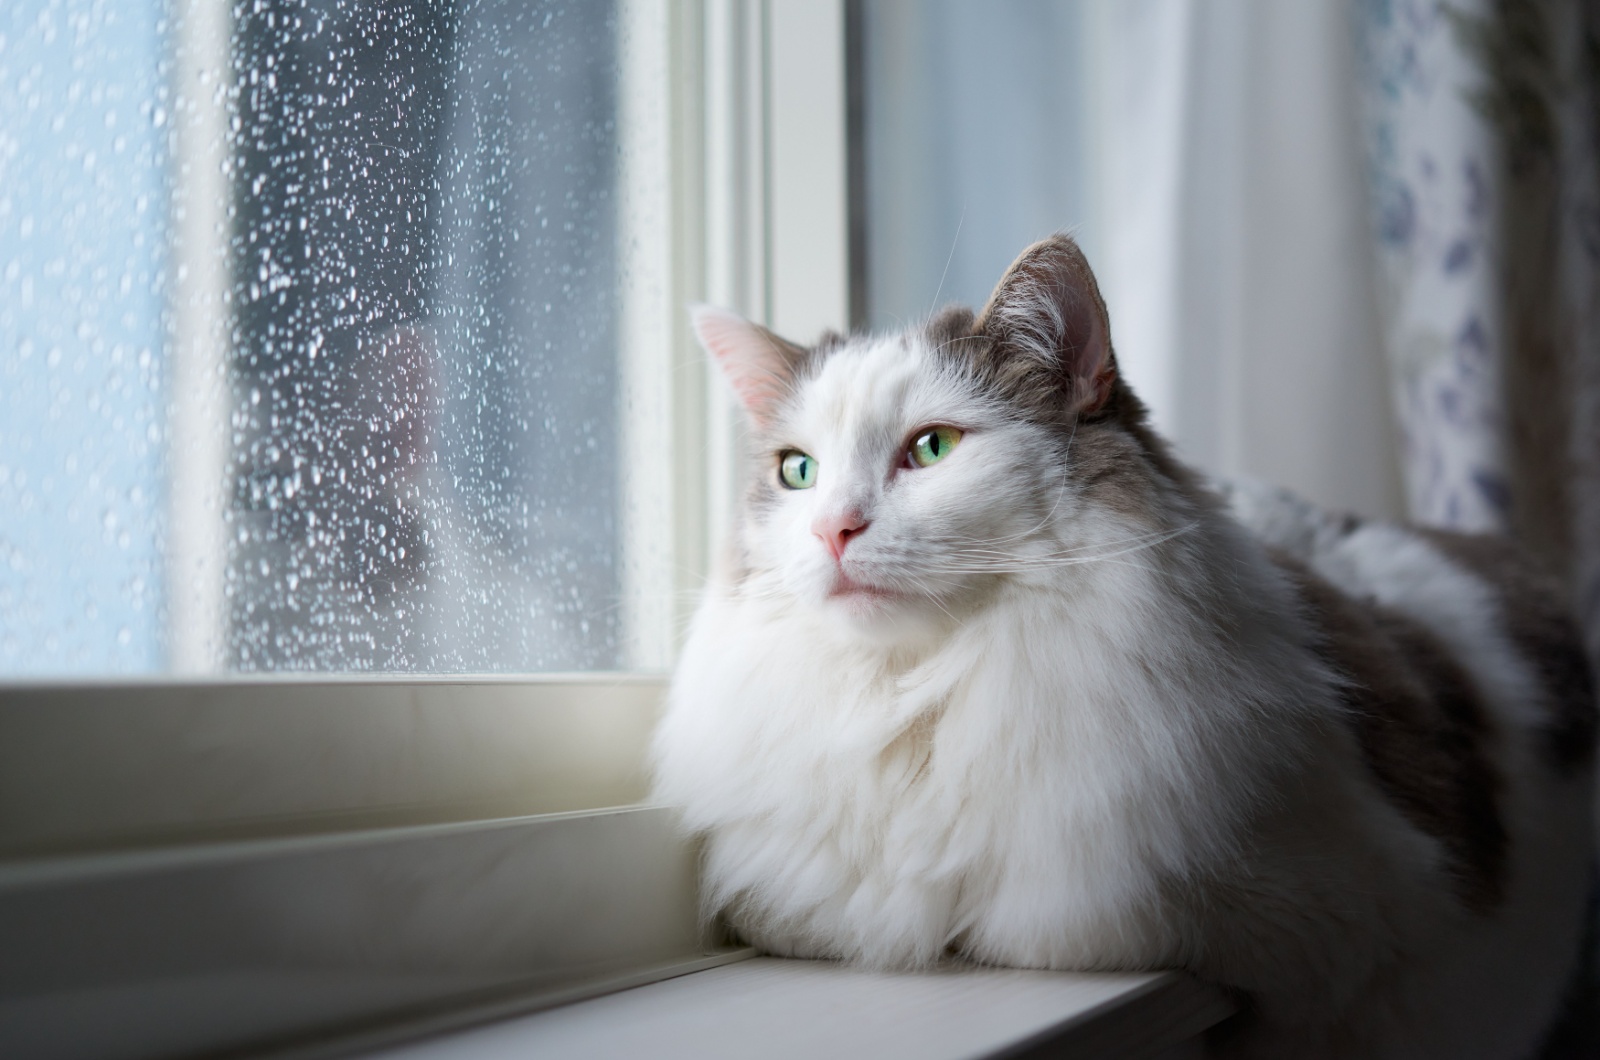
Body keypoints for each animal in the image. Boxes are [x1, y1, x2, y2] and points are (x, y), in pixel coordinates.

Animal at [649, 236, 1600, 1056]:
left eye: (933, 448)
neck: (920, 691)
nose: (833, 531)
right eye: (797, 472)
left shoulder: (1339, 911)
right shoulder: (792, 893)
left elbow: (1045, 921)